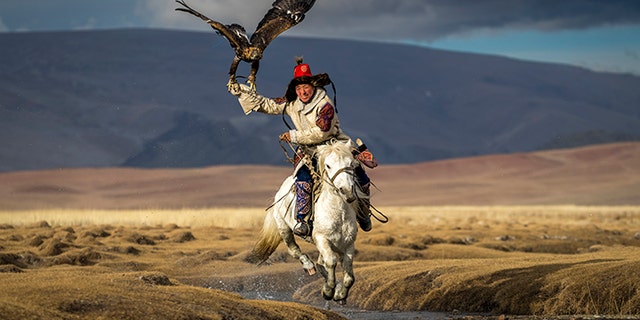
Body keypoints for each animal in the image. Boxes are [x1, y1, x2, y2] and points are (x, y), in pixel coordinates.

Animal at [249, 139, 364, 304]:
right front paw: (328, 291)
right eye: (328, 165)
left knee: (321, 263)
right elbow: (331, 262)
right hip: (284, 229)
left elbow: (349, 277)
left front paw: (340, 294)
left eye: (351, 163)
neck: (338, 213)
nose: (347, 191)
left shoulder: (348, 244)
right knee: (294, 250)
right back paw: (309, 266)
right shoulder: (322, 239)